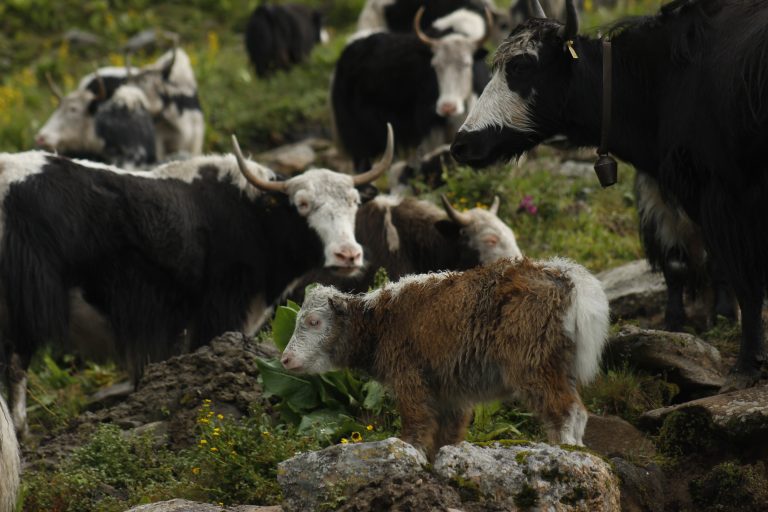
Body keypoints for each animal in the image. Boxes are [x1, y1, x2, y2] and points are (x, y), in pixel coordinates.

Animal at [280, 258, 608, 458]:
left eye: (314, 322)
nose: (285, 360)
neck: (379, 322)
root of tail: (566, 279)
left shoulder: (410, 376)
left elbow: (417, 423)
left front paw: (408, 451)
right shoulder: (450, 392)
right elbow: (447, 434)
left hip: (532, 363)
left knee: (564, 410)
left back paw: (566, 451)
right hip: (560, 364)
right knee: (578, 411)